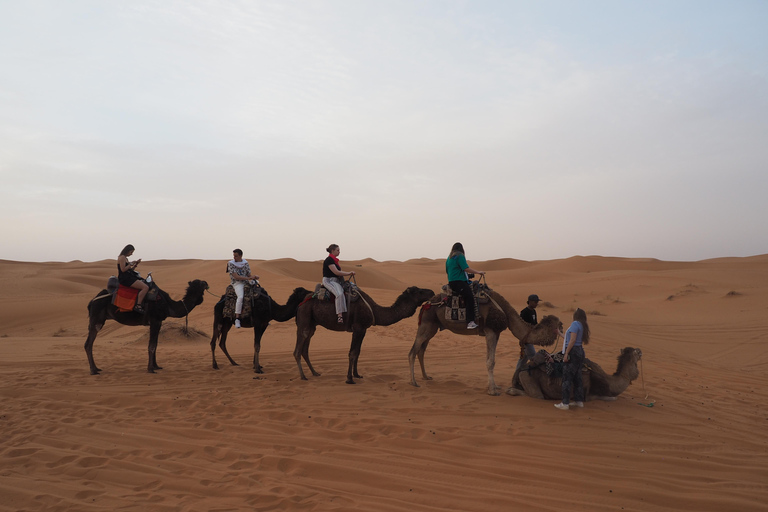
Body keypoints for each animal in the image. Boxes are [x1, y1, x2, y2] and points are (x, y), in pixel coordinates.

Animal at [296, 286, 438, 382]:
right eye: (419, 291)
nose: (432, 292)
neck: (374, 310)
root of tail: (304, 299)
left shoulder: (363, 329)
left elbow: (357, 352)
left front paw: (357, 374)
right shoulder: (358, 328)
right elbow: (352, 352)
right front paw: (349, 379)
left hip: (312, 324)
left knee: (305, 348)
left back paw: (314, 373)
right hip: (305, 318)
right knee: (299, 347)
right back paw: (303, 376)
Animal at [404, 288, 560, 396]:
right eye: (557, 326)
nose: (562, 329)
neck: (507, 313)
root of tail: (426, 304)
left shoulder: (496, 333)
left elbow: (491, 359)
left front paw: (494, 387)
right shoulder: (490, 331)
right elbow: (490, 361)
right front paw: (493, 391)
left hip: (433, 327)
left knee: (421, 351)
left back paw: (426, 376)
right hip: (426, 324)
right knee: (413, 351)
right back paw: (414, 382)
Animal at [508, 346, 644, 402]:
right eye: (638, 353)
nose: (641, 350)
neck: (610, 382)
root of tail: (521, 369)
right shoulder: (591, 396)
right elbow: (614, 398)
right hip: (528, 378)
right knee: (536, 396)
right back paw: (510, 391)